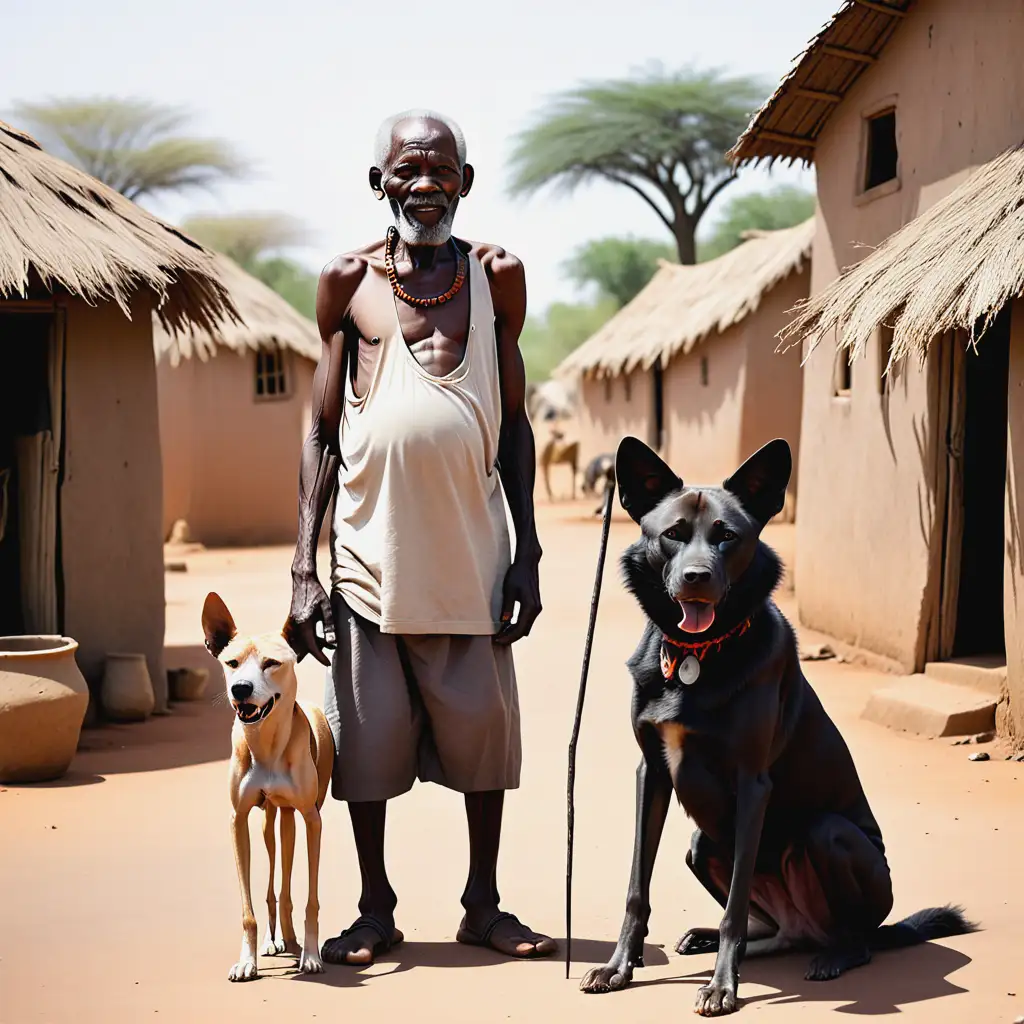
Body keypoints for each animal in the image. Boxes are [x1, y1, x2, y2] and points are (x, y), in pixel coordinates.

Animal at [197, 598, 329, 978]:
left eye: (271, 663)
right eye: (231, 663)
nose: (240, 688)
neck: (267, 746)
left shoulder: (313, 820)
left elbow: (311, 900)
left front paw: (311, 955)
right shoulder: (238, 819)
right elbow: (248, 909)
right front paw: (247, 961)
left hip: (291, 815)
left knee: (284, 882)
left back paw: (293, 941)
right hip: (270, 822)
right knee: (273, 881)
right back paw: (275, 940)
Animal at [581, 438, 970, 1015]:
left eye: (727, 537)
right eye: (673, 534)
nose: (697, 578)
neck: (700, 653)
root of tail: (808, 929)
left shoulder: (752, 785)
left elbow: (735, 908)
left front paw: (722, 986)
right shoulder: (651, 773)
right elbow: (636, 888)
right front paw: (619, 967)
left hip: (829, 836)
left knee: (850, 935)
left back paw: (834, 955)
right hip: (702, 842)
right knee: (772, 931)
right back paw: (715, 938)